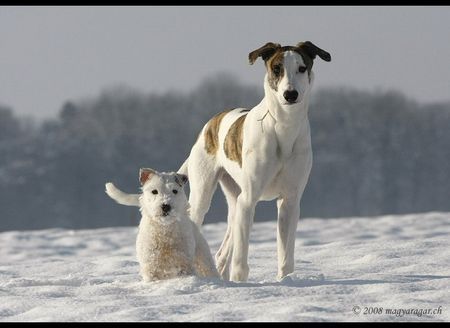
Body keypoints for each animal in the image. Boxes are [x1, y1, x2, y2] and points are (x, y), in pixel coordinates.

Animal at [178, 41, 330, 282]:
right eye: (277, 68)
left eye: (302, 68)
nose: (290, 94)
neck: (284, 128)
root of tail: (211, 123)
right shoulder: (249, 199)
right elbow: (241, 258)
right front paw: (242, 282)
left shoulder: (290, 201)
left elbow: (286, 253)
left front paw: (286, 281)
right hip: (204, 196)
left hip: (234, 201)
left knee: (224, 250)